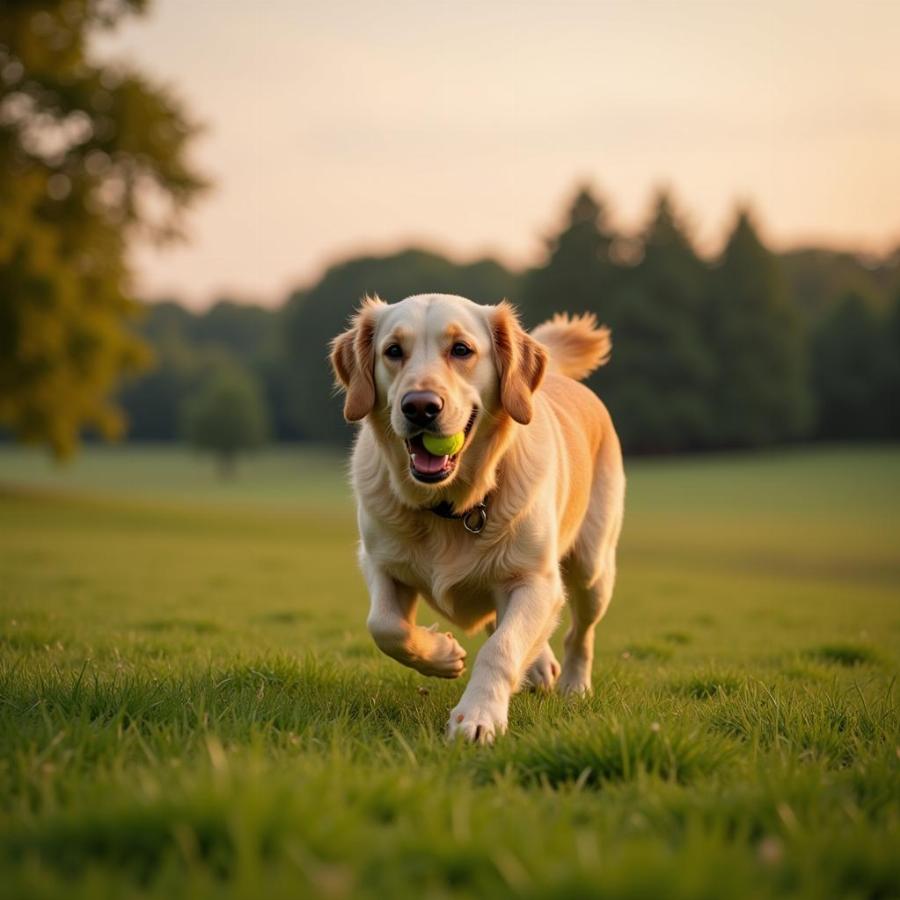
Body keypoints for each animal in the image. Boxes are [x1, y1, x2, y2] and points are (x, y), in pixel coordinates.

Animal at [330, 292, 624, 740]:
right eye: (393, 351)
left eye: (461, 350)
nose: (420, 407)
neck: (451, 506)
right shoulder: (379, 561)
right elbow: (384, 625)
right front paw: (443, 654)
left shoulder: (536, 579)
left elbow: (501, 648)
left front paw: (478, 716)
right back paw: (539, 666)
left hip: (593, 566)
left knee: (580, 633)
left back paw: (575, 686)